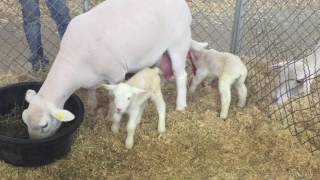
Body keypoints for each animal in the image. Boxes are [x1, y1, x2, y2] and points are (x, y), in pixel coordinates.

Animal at [22, 0, 192, 139]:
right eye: (25, 120)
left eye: (44, 125)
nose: (35, 141)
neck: (74, 62)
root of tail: (183, 4)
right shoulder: (91, 78)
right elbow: (91, 91)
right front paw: (92, 106)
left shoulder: (115, 74)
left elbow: (112, 96)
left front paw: (110, 116)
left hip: (179, 42)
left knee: (181, 75)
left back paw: (180, 105)